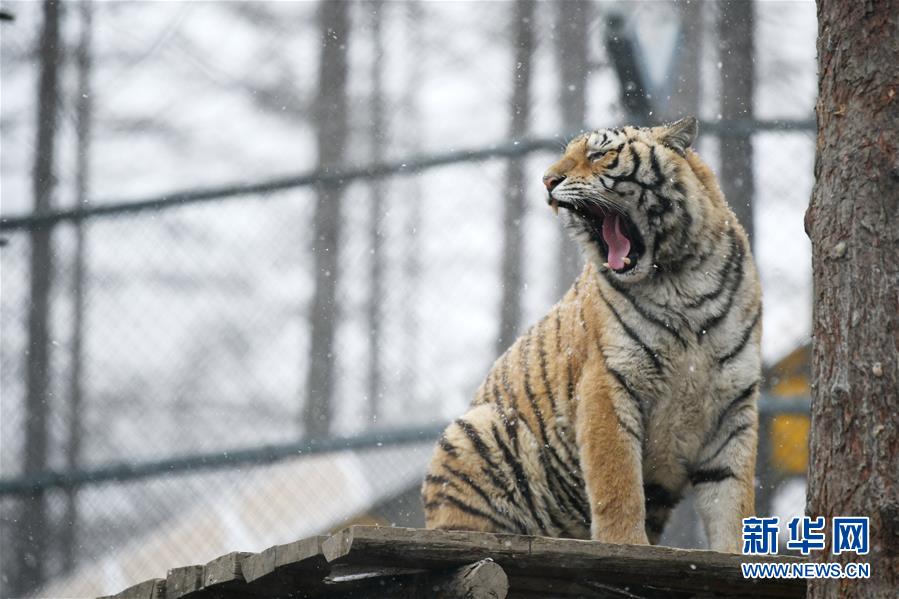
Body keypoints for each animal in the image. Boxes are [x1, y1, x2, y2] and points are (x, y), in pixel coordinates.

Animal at [421, 117, 761, 553]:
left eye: (599, 154)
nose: (547, 180)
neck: (681, 280)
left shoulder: (733, 403)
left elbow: (732, 497)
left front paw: (739, 552)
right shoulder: (608, 382)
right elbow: (618, 485)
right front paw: (626, 545)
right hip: (474, 430)